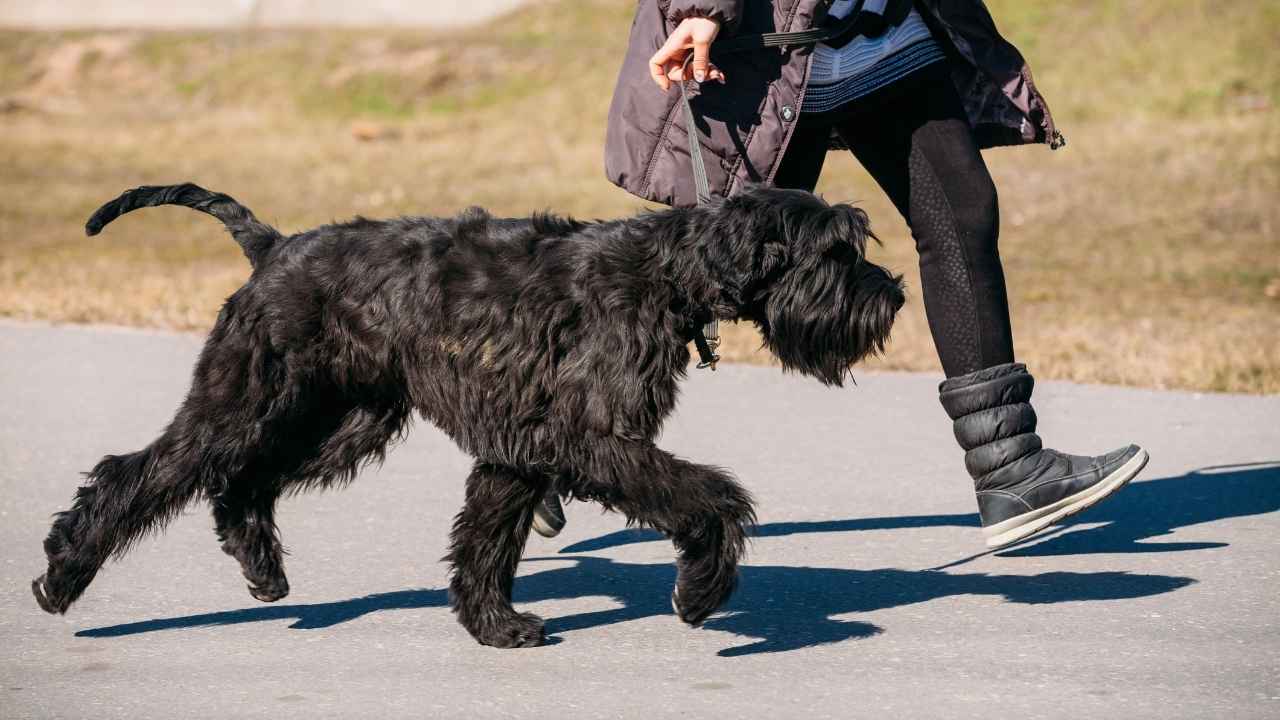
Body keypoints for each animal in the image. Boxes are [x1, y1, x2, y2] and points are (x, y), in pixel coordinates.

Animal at [35, 181, 906, 648]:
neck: (669, 273)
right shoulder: (589, 438)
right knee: (141, 473)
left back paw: (261, 566)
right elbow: (711, 495)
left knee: (241, 482)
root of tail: (273, 247)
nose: (894, 296)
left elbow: (486, 539)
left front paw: (493, 624)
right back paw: (62, 573)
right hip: (245, 401)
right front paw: (701, 591)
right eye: (835, 251)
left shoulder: (522, 447)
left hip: (344, 418)